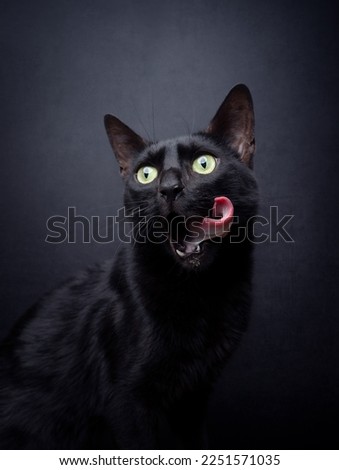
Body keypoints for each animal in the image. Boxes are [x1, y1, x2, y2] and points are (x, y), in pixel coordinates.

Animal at [0, 82, 258, 450]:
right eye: (146, 174)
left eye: (204, 164)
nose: (168, 189)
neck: (201, 294)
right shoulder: (128, 401)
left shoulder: (194, 396)